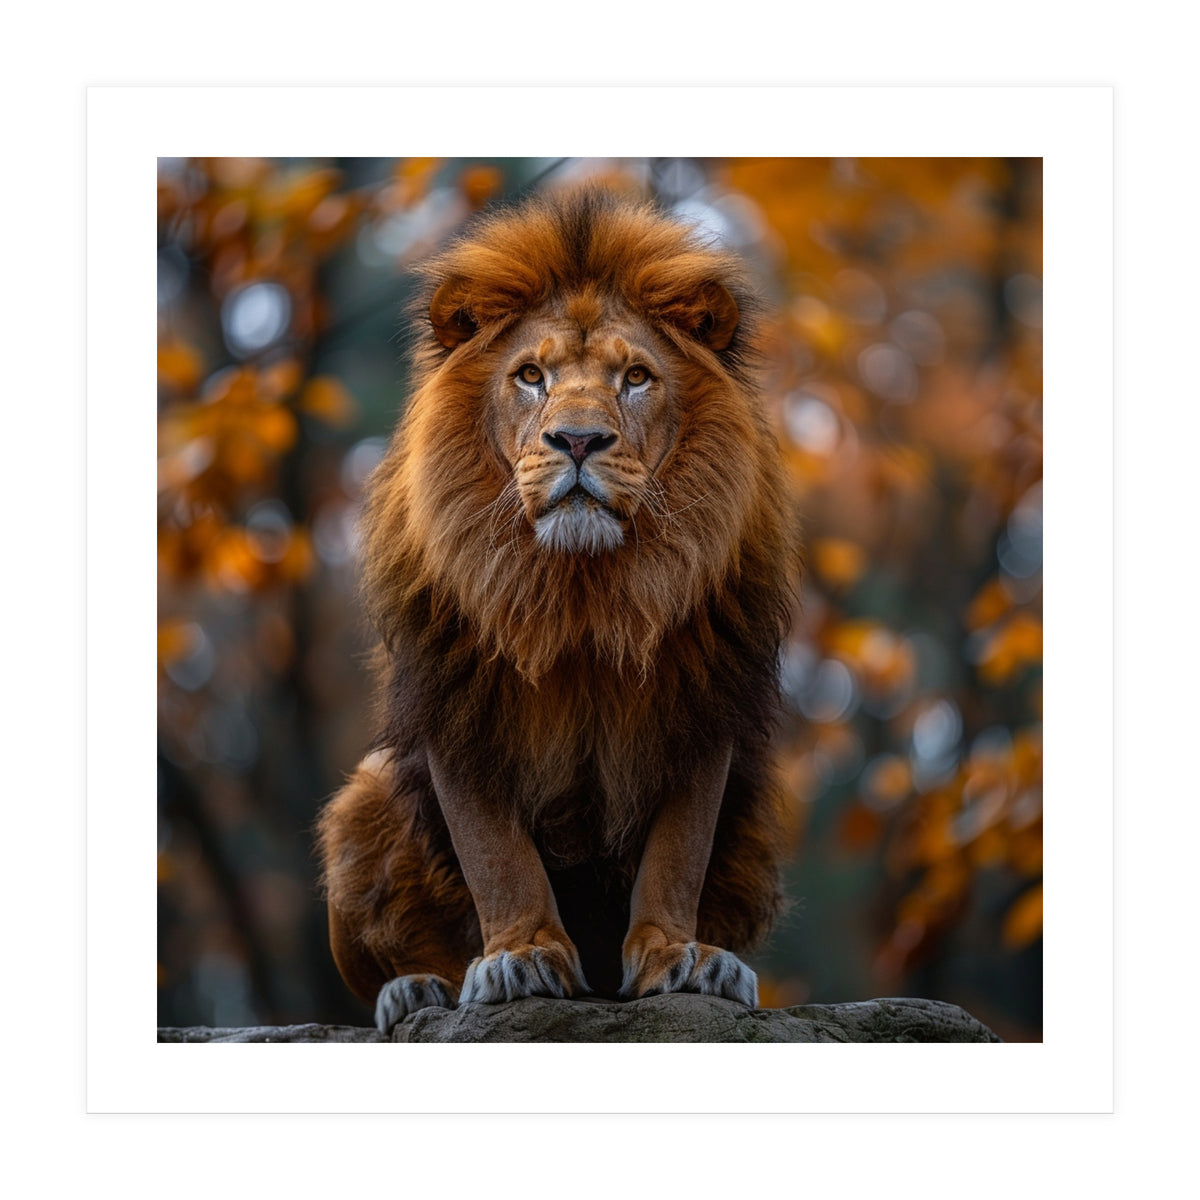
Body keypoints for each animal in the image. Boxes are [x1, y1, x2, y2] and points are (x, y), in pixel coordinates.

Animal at [317, 186, 799, 1033]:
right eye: (531, 375)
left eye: (636, 376)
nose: (577, 440)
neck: (583, 592)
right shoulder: (455, 701)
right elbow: (495, 854)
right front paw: (520, 958)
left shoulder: (704, 701)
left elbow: (678, 852)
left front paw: (680, 957)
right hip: (361, 798)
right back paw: (417, 988)